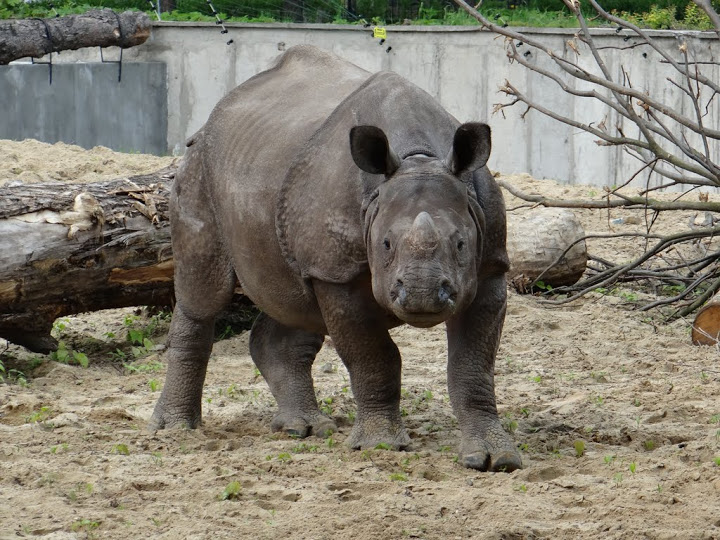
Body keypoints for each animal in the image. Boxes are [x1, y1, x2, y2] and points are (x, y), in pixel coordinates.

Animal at [149, 45, 521, 472]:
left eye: (461, 244)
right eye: (386, 244)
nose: (422, 295)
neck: (418, 157)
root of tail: (213, 117)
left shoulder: (490, 263)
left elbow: (473, 365)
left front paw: (494, 457)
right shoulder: (336, 274)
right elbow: (374, 356)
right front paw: (380, 446)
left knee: (294, 303)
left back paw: (304, 428)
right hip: (199, 169)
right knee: (204, 294)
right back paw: (175, 430)